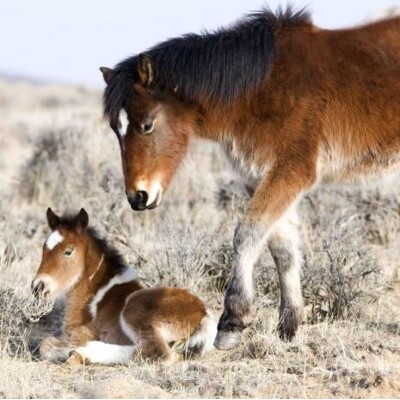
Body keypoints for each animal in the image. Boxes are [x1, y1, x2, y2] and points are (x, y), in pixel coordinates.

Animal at [32, 208, 217, 364]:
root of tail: (203, 313)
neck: (94, 293)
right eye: (43, 249)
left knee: (158, 351)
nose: (38, 286)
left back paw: (84, 352)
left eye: (68, 252)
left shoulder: (88, 331)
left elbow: (46, 344)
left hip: (135, 308)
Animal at [99, 6, 400, 350]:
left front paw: (232, 321)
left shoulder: (291, 172)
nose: (138, 196)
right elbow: (282, 249)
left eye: (147, 125)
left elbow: (247, 234)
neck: (262, 88)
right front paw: (289, 326)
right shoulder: (262, 177)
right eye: (115, 128)